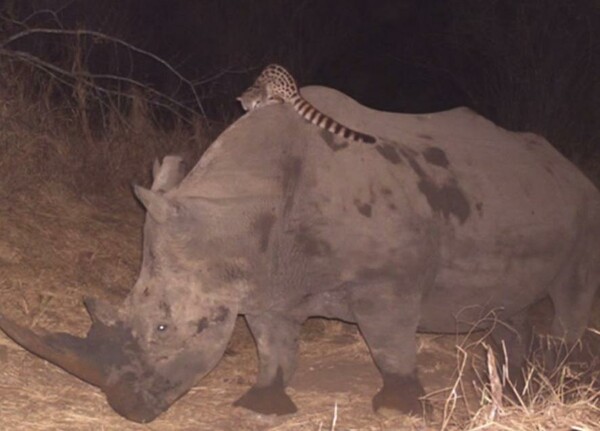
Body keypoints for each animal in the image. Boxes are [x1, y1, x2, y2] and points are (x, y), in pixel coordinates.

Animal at [238, 64, 376, 144]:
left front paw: (265, 104)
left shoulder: (266, 89)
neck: (255, 89)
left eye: (257, 103)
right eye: (245, 108)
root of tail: (294, 90)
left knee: (281, 100)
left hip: (276, 85)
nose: (251, 111)